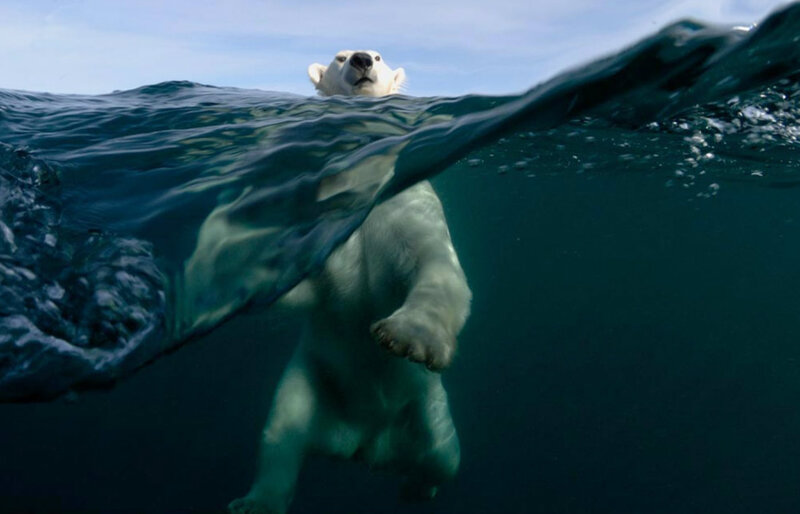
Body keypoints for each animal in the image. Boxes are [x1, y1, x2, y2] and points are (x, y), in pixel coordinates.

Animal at [228, 50, 471, 514]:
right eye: (339, 57)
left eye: (378, 56)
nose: (360, 60)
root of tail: (365, 444)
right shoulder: (323, 217)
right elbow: (304, 286)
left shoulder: (405, 204)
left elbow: (433, 262)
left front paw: (408, 336)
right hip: (310, 382)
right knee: (281, 435)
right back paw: (256, 502)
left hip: (426, 406)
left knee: (443, 455)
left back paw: (417, 487)